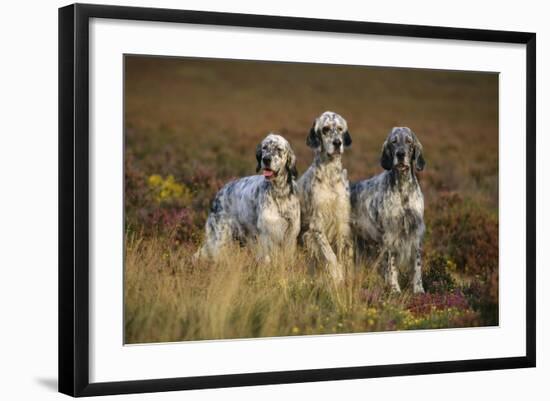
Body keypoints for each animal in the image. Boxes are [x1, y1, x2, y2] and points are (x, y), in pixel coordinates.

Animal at [300, 109, 356, 282]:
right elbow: (330, 255)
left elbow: (343, 255)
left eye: (340, 129)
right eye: (325, 129)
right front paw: (337, 275)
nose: (338, 143)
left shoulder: (342, 221)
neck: (330, 174)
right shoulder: (317, 224)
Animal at [352, 126, 430, 292]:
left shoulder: (415, 231)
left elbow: (417, 266)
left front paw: (419, 289)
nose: (400, 154)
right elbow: (391, 266)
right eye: (394, 142)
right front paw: (394, 289)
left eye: (409, 141)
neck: (403, 189)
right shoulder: (390, 233)